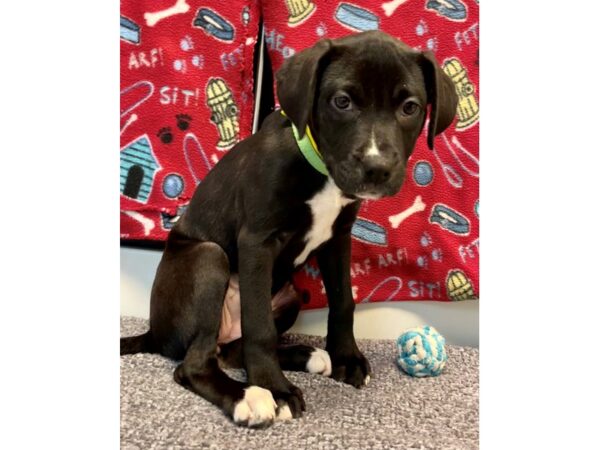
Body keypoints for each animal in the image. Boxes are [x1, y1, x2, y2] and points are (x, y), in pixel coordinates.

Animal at [120, 30, 454, 426]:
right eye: (342, 101)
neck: (321, 170)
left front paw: (346, 357)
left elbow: (344, 300)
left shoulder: (338, 238)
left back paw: (308, 356)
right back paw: (248, 396)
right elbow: (259, 325)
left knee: (230, 352)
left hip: (290, 296)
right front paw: (274, 388)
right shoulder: (258, 242)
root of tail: (154, 333)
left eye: (410, 107)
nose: (377, 168)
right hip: (209, 258)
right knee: (195, 363)